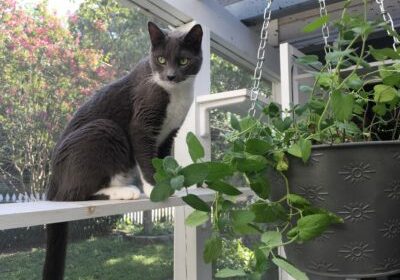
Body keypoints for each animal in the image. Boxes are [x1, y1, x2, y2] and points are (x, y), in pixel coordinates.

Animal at [43, 22, 203, 280]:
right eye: (160, 59)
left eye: (183, 61)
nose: (170, 75)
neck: (175, 94)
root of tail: (52, 180)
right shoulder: (141, 122)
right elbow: (146, 157)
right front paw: (154, 187)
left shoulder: (170, 133)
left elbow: (162, 158)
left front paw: (168, 184)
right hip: (105, 129)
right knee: (70, 195)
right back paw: (125, 191)